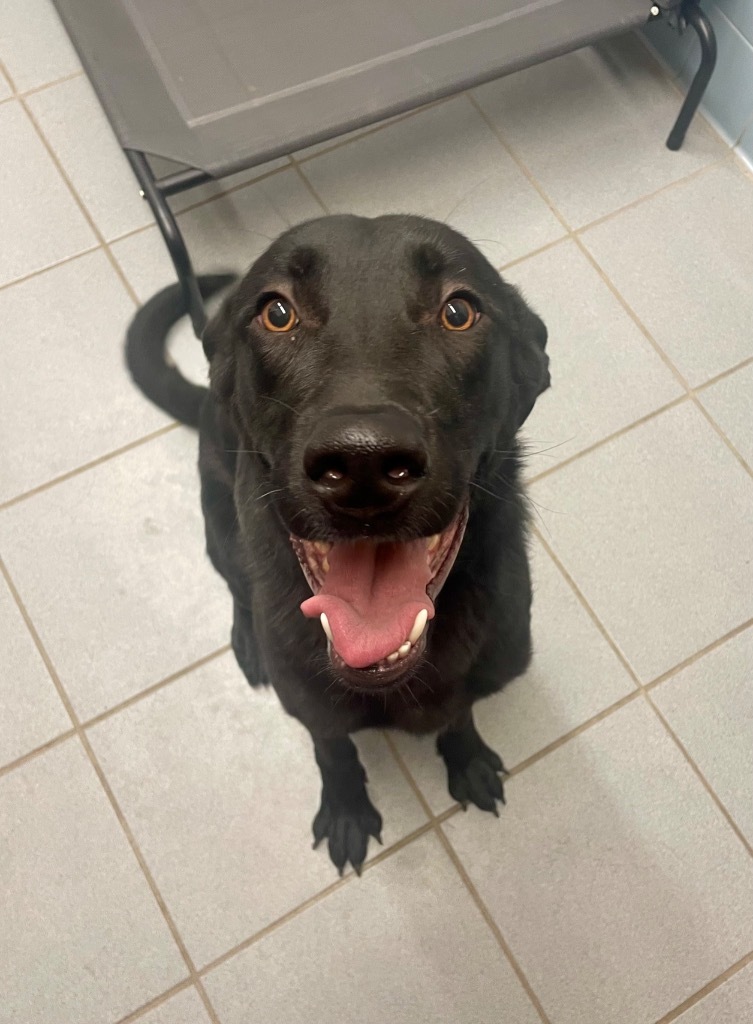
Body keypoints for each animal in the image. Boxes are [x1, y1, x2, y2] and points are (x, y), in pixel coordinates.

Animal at [126, 214, 549, 872]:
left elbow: (459, 712)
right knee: (236, 585)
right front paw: (347, 808)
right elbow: (333, 748)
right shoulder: (311, 705)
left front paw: (467, 758)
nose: (364, 464)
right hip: (221, 528)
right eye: (277, 312)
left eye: (459, 311)